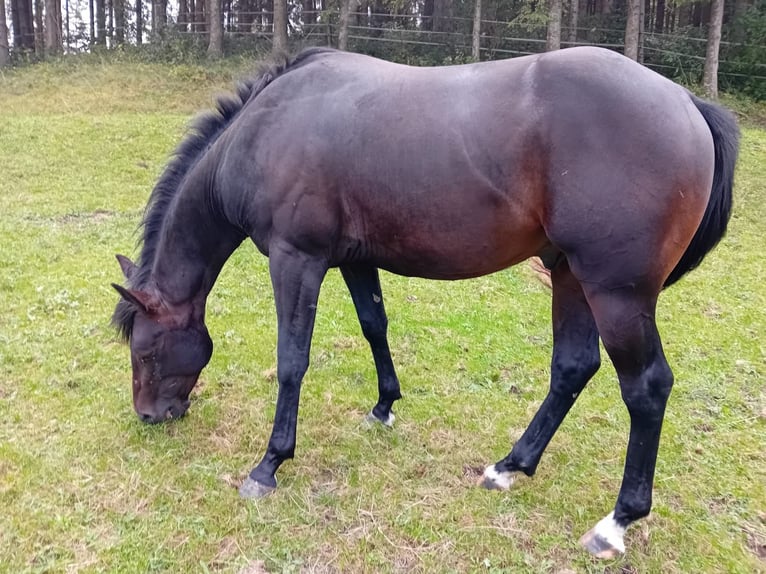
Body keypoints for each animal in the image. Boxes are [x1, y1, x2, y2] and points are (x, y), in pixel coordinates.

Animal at [112, 46, 739, 557]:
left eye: (144, 352)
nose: (149, 415)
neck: (266, 129)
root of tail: (686, 102)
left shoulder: (297, 260)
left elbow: (292, 361)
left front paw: (269, 464)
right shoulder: (354, 259)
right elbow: (374, 324)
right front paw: (384, 406)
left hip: (616, 294)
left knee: (646, 388)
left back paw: (615, 523)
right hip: (569, 276)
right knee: (572, 368)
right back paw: (510, 467)